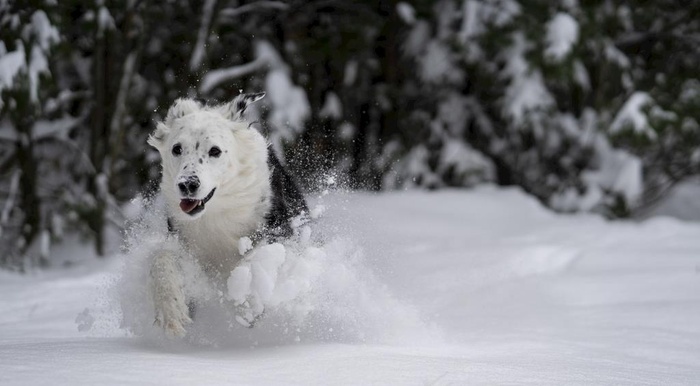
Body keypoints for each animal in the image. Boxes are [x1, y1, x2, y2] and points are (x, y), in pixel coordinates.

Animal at [146, 93, 306, 338]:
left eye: (215, 151)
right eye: (177, 149)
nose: (187, 184)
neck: (217, 211)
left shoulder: (280, 230)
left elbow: (254, 258)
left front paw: (246, 301)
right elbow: (162, 258)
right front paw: (171, 311)